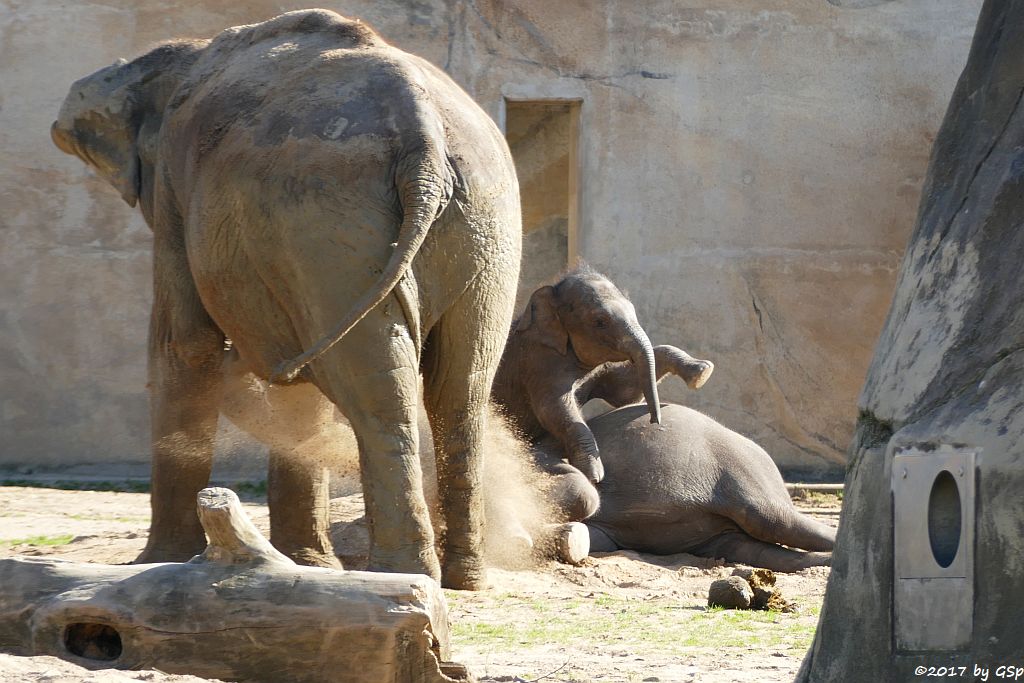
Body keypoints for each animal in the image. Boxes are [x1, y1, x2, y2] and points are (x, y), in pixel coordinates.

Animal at [51, 7, 524, 589]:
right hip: (483, 227)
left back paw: (400, 573)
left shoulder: (174, 188)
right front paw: (308, 563)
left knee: (375, 390)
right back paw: (463, 578)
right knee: (459, 388)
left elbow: (183, 343)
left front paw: (157, 562)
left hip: (326, 220)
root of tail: (425, 141)